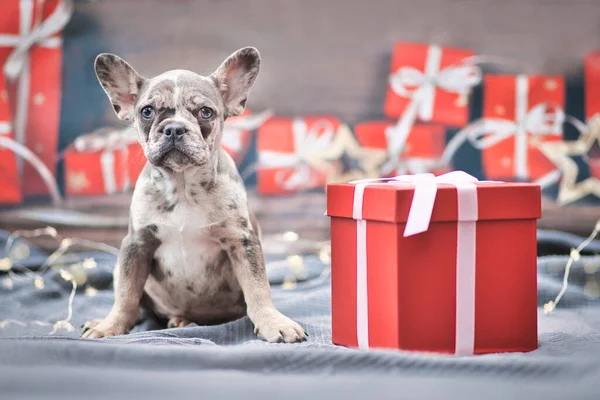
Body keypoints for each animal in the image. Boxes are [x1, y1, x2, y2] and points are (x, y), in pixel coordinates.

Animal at [82, 45, 308, 342]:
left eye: (205, 112)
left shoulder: (242, 241)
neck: (182, 185)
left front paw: (272, 322)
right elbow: (126, 294)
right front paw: (111, 326)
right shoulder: (136, 244)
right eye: (147, 111)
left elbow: (258, 288)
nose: (174, 128)